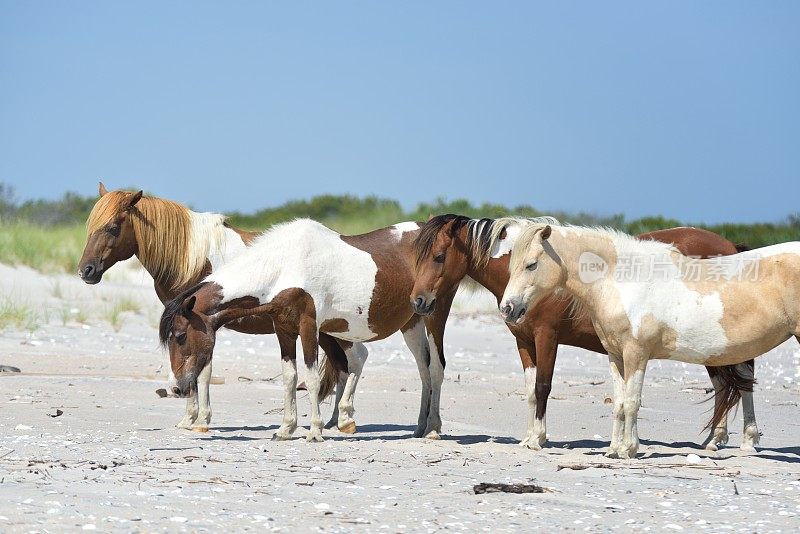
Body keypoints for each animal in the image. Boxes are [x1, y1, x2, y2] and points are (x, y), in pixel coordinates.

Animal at [76, 184, 362, 436]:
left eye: (113, 228)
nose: (85, 271)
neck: (194, 259)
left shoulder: (203, 324)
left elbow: (202, 373)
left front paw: (200, 420)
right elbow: (189, 369)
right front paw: (189, 419)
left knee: (355, 359)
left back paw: (343, 419)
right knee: (344, 364)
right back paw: (335, 420)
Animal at [160, 220, 456, 442]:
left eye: (181, 336)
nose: (175, 388)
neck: (284, 266)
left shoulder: (309, 327)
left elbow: (311, 378)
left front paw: (314, 430)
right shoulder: (284, 330)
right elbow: (290, 377)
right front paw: (285, 428)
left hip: (432, 317)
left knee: (434, 368)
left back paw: (432, 428)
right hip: (410, 324)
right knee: (418, 368)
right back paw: (417, 426)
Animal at [410, 216, 760, 454]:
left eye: (439, 256)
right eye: (419, 256)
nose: (418, 301)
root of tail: (731, 247)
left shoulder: (546, 337)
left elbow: (543, 386)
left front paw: (538, 438)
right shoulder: (523, 342)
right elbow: (529, 390)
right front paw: (528, 436)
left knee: (740, 383)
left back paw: (744, 439)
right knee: (726, 386)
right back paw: (715, 439)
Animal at [500, 224, 800, 462]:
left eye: (531, 264)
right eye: (509, 265)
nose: (507, 308)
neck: (622, 280)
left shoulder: (636, 354)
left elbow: (633, 401)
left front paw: (629, 449)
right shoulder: (615, 355)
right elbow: (619, 403)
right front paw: (613, 449)